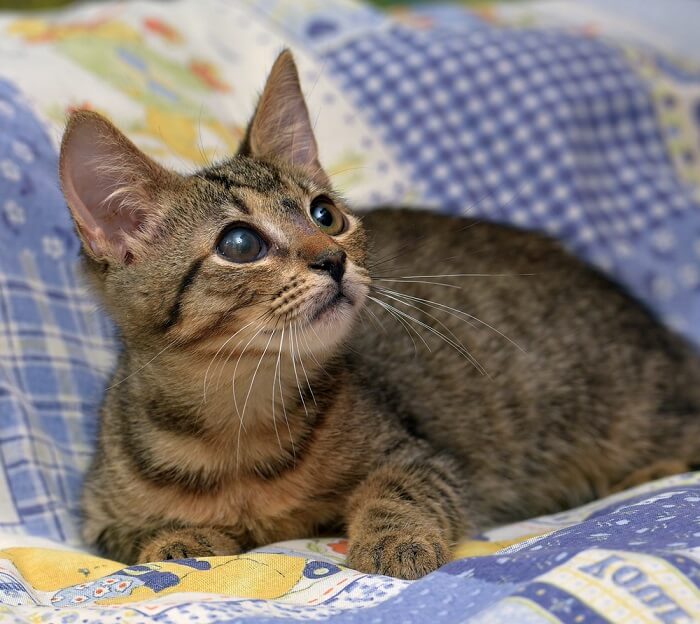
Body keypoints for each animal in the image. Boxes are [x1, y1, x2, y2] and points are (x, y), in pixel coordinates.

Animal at [60, 50, 700, 580]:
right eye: (240, 244)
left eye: (325, 214)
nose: (334, 258)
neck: (237, 423)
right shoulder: (97, 513)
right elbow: (134, 534)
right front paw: (179, 538)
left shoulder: (420, 454)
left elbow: (399, 492)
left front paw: (395, 541)